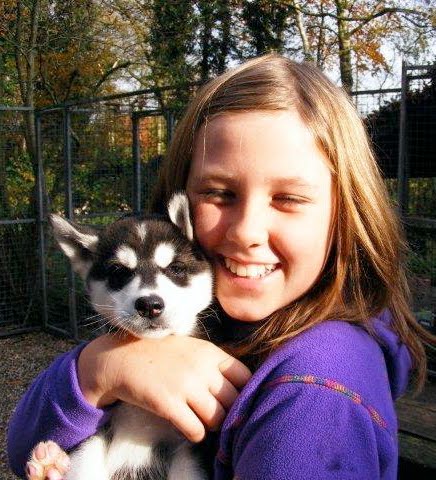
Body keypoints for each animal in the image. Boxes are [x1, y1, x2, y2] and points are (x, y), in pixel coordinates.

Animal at [26, 193, 213, 480]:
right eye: (119, 272)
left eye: (176, 268)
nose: (149, 305)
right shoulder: (93, 435)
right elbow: (83, 464)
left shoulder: (190, 445)